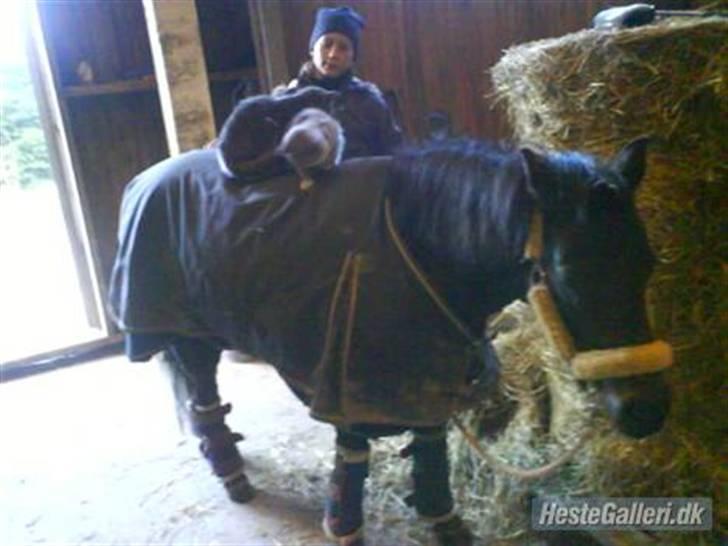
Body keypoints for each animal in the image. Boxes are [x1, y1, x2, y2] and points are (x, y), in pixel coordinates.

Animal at [108, 136, 673, 546]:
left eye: (648, 263)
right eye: (569, 274)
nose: (646, 410)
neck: (426, 246)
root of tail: (145, 177)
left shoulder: (428, 373)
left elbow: (430, 452)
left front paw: (443, 521)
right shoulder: (352, 384)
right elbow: (351, 464)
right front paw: (346, 527)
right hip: (190, 336)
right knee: (203, 398)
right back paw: (230, 472)